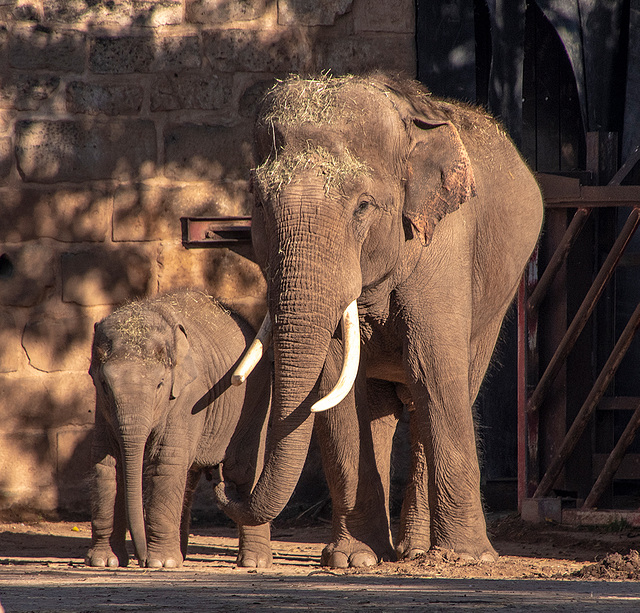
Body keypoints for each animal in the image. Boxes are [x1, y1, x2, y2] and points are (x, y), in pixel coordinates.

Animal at [85, 290, 272, 568]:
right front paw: (105, 562)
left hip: (255, 402)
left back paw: (253, 563)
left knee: (242, 471)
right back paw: (181, 555)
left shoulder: (189, 397)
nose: (141, 559)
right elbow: (106, 464)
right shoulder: (102, 408)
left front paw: (161, 564)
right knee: (189, 478)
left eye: (160, 384)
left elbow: (165, 462)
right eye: (105, 385)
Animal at [216, 74, 544, 568]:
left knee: (443, 392)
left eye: (363, 207)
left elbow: (433, 369)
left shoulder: (443, 240)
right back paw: (397, 549)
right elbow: (335, 380)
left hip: (499, 298)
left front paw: (469, 559)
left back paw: (419, 551)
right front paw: (353, 560)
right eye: (258, 201)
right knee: (380, 409)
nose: (225, 480)